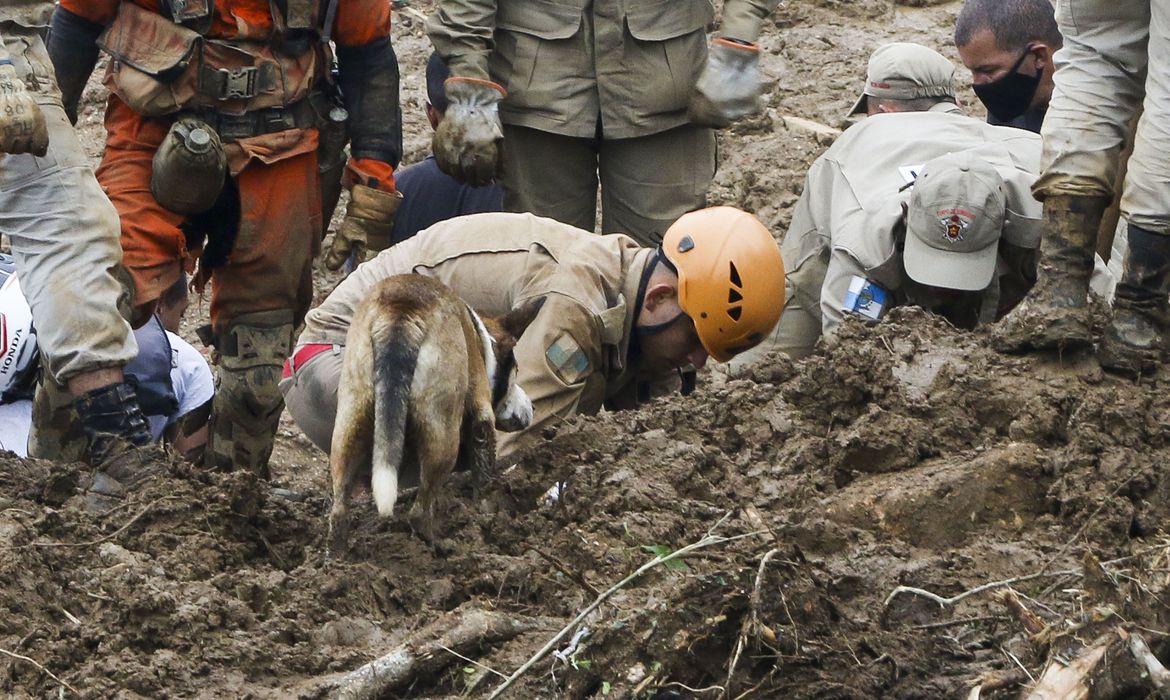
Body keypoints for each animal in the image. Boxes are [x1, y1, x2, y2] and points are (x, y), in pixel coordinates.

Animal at [329, 273, 542, 554]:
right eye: (515, 373)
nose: (533, 407)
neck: (482, 340)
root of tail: (402, 312)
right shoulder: (482, 417)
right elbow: (484, 474)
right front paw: (486, 515)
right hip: (443, 437)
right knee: (418, 513)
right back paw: (439, 546)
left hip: (350, 422)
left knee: (339, 510)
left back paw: (337, 558)